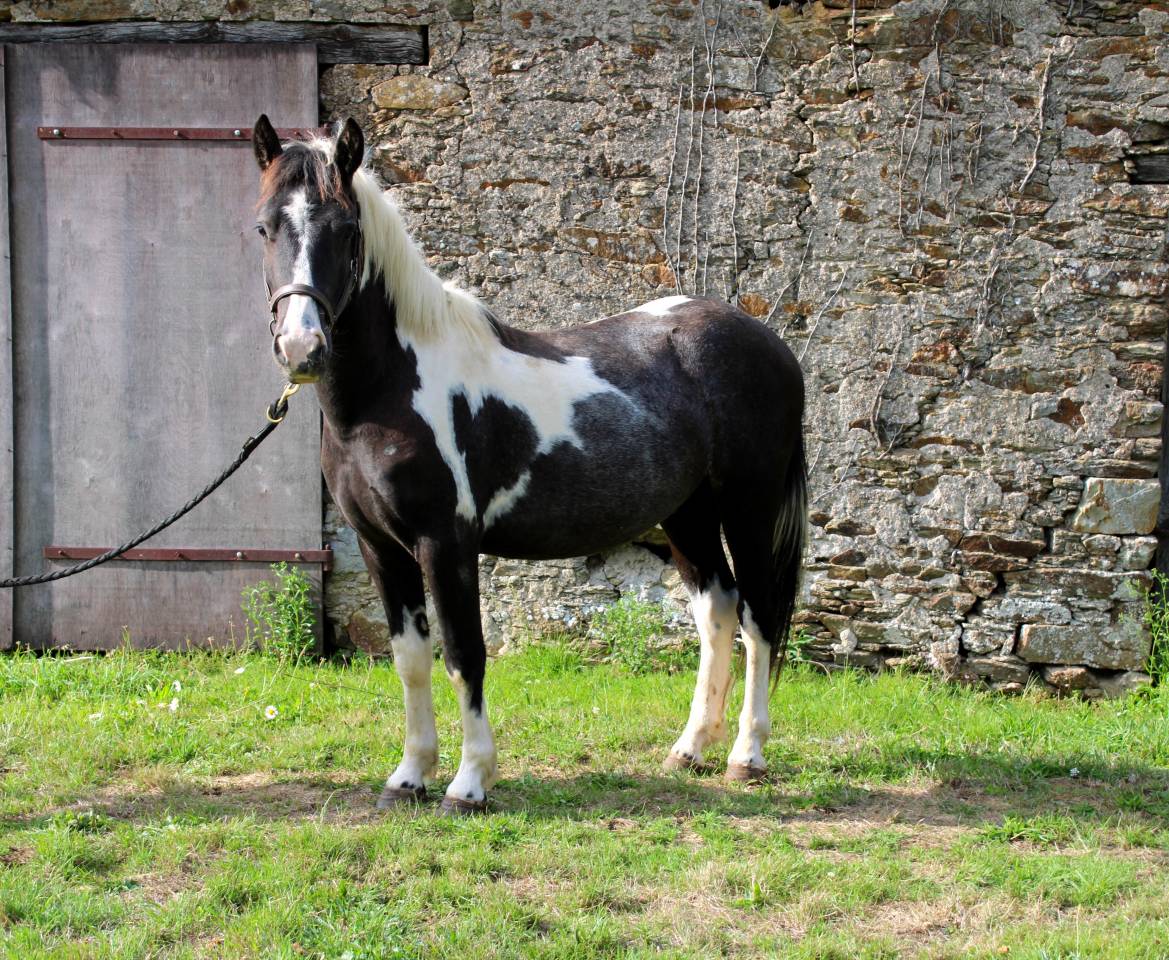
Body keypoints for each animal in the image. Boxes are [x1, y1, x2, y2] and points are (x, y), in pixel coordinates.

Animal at [250, 115, 807, 814]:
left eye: (347, 230)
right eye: (264, 226)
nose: (301, 347)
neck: (390, 392)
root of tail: (769, 344)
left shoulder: (445, 544)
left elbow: (464, 654)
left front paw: (469, 783)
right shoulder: (380, 546)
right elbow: (410, 659)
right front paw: (409, 777)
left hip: (749, 511)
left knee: (759, 619)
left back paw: (745, 757)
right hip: (689, 515)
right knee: (718, 611)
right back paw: (689, 750)